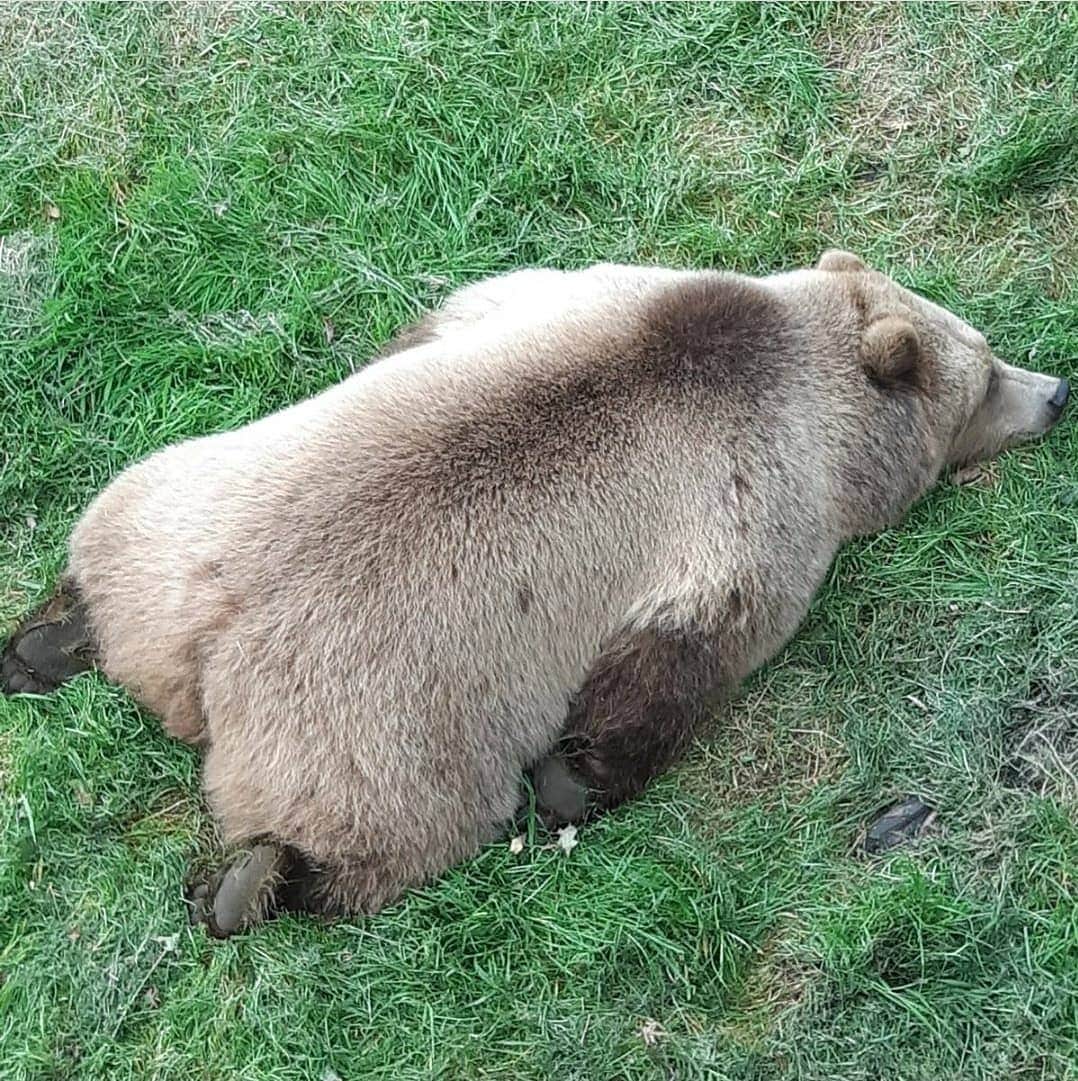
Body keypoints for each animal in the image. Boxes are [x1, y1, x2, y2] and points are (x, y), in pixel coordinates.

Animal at [2, 251, 1069, 935]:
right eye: (984, 375)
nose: (1056, 390)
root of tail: (200, 667)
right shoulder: (750, 510)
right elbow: (677, 660)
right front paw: (571, 777)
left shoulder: (568, 299)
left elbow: (454, 314)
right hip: (376, 739)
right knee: (379, 840)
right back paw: (253, 882)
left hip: (171, 508)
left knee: (102, 558)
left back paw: (39, 647)